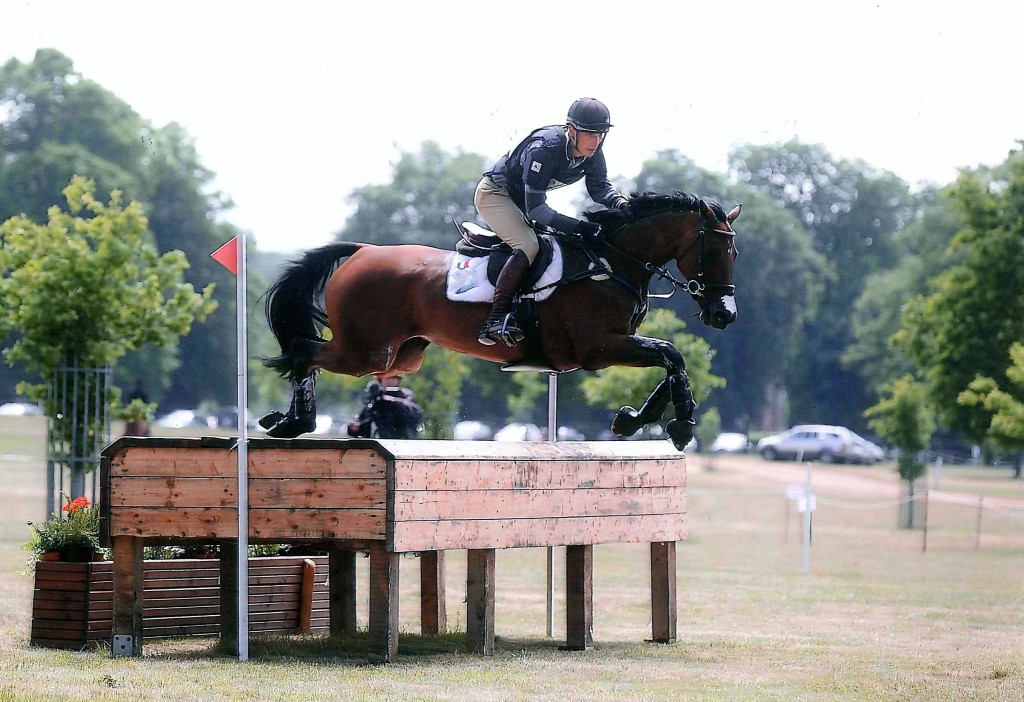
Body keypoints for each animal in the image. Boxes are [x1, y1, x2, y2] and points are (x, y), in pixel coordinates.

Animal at [260, 192, 741, 450]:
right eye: (715, 250)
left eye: (734, 252)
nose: (724, 315)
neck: (611, 262)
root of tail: (363, 250)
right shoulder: (598, 348)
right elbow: (671, 354)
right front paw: (681, 424)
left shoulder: (621, 342)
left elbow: (670, 361)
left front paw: (632, 419)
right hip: (366, 350)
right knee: (304, 349)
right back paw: (293, 424)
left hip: (403, 354)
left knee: (311, 352)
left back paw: (286, 422)